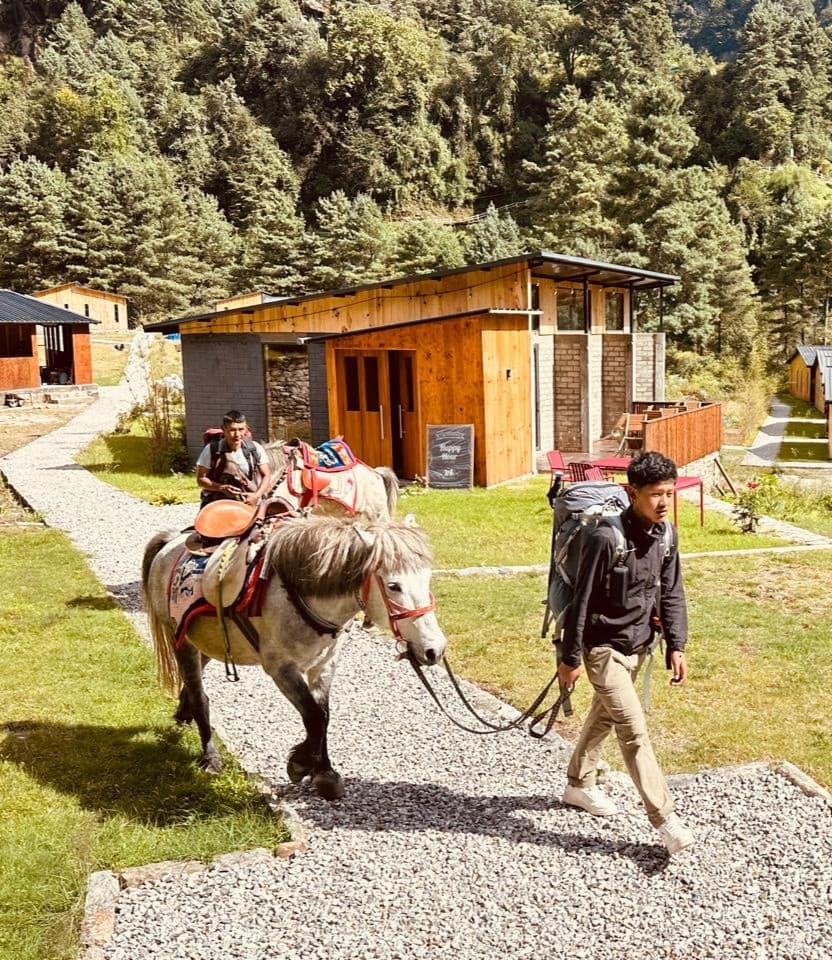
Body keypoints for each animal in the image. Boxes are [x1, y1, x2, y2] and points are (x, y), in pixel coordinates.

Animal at [142, 514, 447, 800]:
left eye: (427, 578)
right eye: (394, 586)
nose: (435, 649)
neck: (300, 593)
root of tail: (171, 541)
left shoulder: (324, 664)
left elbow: (323, 715)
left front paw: (324, 772)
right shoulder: (281, 668)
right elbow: (313, 716)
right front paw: (301, 764)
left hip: (204, 642)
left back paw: (184, 714)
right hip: (181, 641)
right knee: (199, 696)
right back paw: (210, 756)